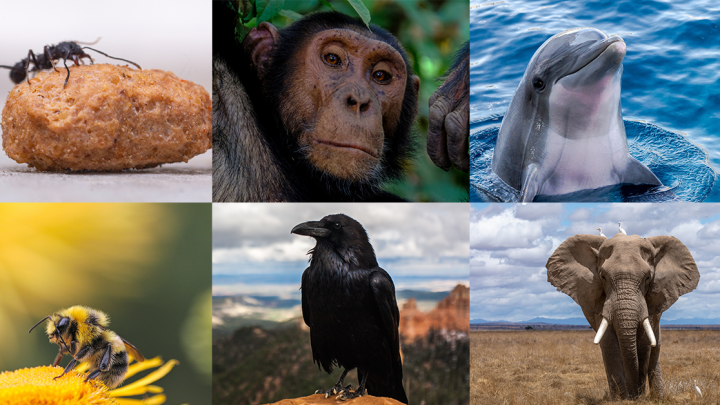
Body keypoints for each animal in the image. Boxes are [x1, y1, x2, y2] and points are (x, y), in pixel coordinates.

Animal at [546, 233, 700, 399]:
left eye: (648, 277)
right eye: (603, 276)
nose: (635, 395)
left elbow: (644, 343)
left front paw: (638, 397)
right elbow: (609, 343)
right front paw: (621, 398)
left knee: (655, 347)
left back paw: (658, 397)